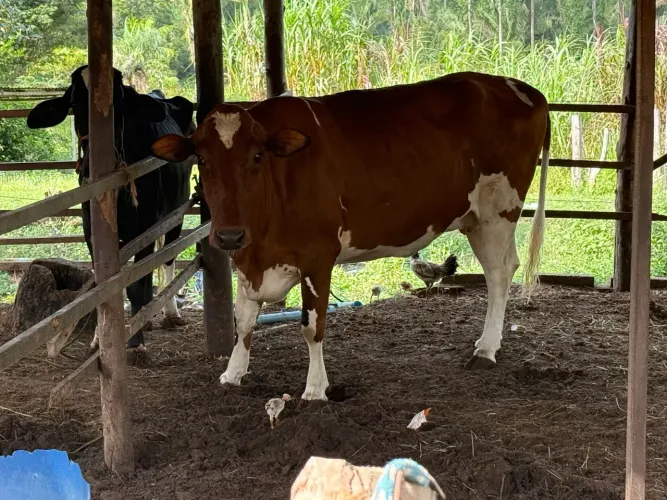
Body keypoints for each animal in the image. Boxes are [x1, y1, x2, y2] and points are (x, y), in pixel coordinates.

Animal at [27, 65, 195, 352]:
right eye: (74, 104)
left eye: (119, 102)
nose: (89, 166)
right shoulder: (91, 231)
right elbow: (103, 286)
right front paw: (99, 339)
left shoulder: (146, 226)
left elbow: (138, 284)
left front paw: (136, 343)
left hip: (177, 210)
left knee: (168, 257)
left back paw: (169, 313)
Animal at [151, 71, 550, 400]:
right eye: (202, 159)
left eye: (257, 156)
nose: (230, 235)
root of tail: (522, 88)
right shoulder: (249, 258)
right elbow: (244, 319)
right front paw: (233, 373)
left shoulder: (318, 255)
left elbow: (312, 326)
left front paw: (315, 389)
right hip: (475, 218)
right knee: (506, 266)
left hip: (497, 211)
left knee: (498, 274)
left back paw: (486, 349)